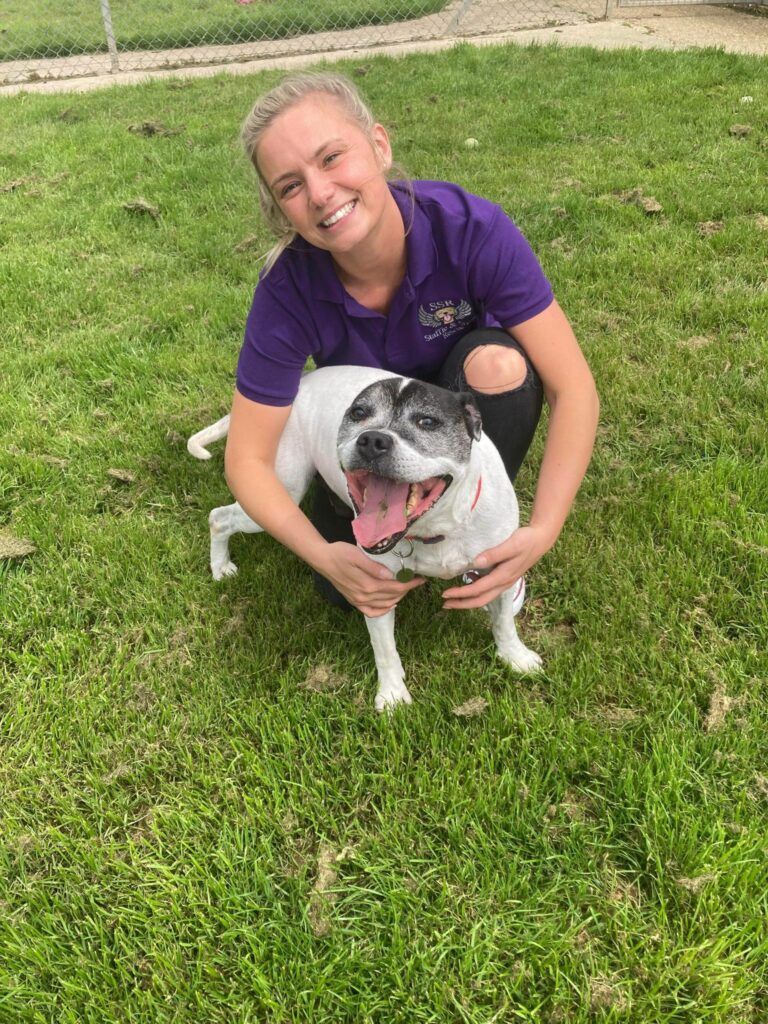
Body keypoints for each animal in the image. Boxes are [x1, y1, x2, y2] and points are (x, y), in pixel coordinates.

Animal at [188, 368, 544, 712]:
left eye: (427, 421)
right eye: (359, 413)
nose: (372, 439)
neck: (433, 531)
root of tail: (301, 384)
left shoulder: (500, 569)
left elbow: (504, 622)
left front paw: (516, 657)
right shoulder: (374, 590)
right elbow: (384, 650)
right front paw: (392, 695)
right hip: (276, 494)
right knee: (218, 517)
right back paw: (220, 566)